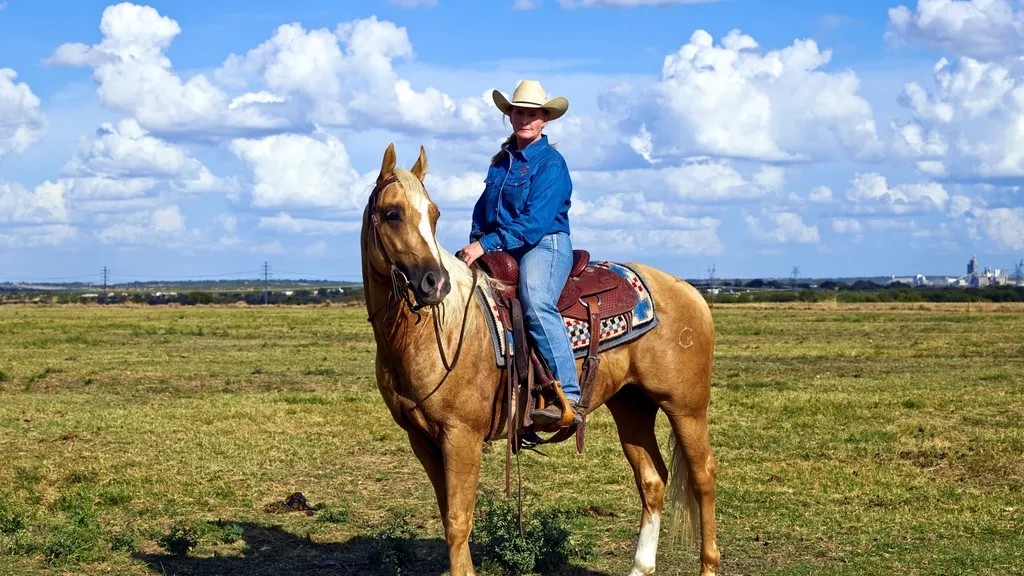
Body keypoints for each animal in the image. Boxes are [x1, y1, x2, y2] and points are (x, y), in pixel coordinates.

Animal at [360, 143, 720, 576]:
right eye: (392, 213)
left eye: (433, 214)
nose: (435, 283)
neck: (438, 331)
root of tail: (689, 291)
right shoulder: (422, 439)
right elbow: (449, 516)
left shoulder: (461, 437)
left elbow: (459, 522)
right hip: (631, 405)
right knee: (653, 479)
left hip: (685, 407)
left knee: (703, 477)